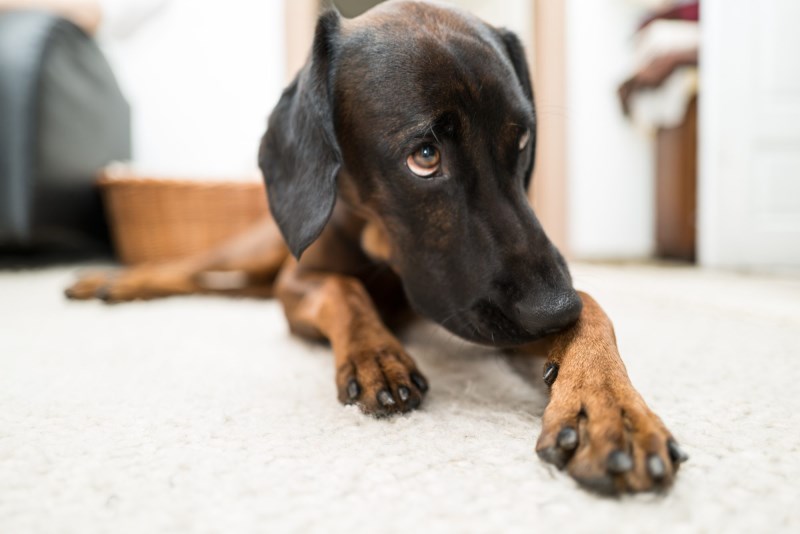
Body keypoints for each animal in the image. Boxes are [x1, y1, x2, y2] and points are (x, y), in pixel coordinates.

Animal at [67, 0, 688, 496]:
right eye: (424, 155)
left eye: (522, 141)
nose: (554, 309)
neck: (384, 254)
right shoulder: (298, 284)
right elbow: (343, 290)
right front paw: (376, 354)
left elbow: (597, 312)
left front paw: (609, 409)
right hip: (256, 251)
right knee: (193, 266)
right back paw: (110, 280)